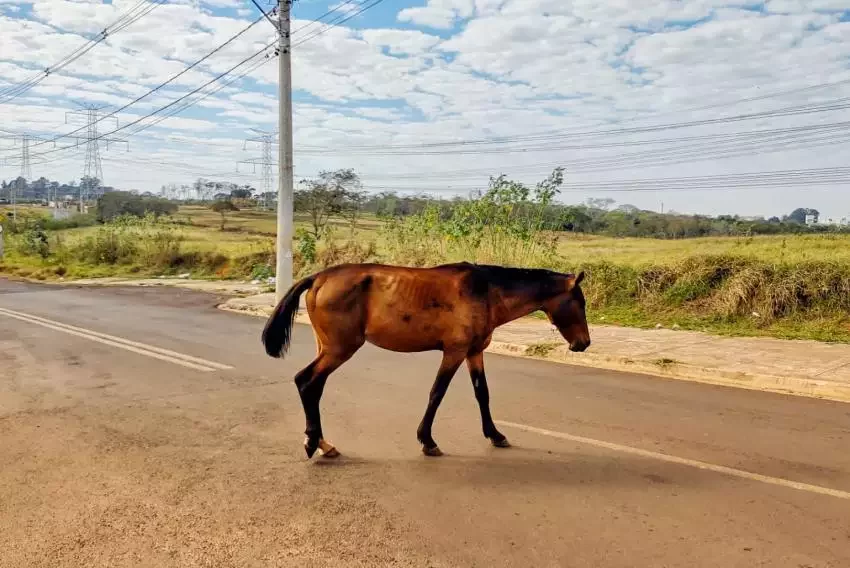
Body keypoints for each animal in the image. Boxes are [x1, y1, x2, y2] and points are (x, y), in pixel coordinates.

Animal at [262, 262, 588, 458]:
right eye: (579, 302)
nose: (583, 343)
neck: (485, 292)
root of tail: (319, 277)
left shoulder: (474, 352)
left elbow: (482, 394)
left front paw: (495, 435)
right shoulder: (454, 351)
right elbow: (437, 393)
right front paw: (427, 440)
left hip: (327, 347)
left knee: (313, 386)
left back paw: (323, 444)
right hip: (340, 349)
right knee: (306, 381)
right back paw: (312, 442)